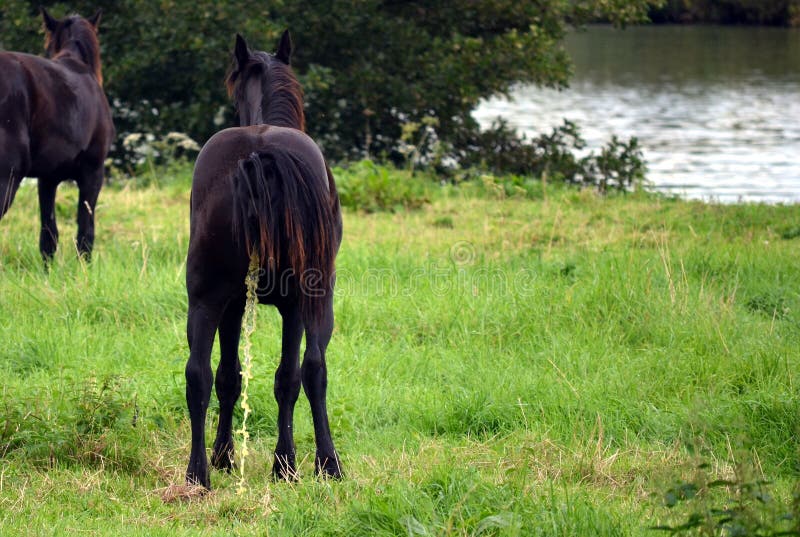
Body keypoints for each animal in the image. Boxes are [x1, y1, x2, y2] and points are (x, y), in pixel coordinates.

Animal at [186, 30, 346, 490]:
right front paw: (286, 463)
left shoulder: (233, 304)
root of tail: (258, 153)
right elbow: (294, 376)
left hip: (205, 297)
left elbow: (228, 376)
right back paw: (317, 463)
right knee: (307, 371)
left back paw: (197, 473)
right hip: (309, 299)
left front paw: (224, 456)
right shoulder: (296, 307)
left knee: (198, 375)